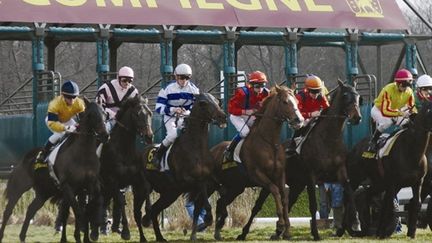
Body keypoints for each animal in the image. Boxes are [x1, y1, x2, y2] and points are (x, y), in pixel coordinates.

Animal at [0, 98, 108, 243]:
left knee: (31, 209)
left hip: (44, 192)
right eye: (91, 115)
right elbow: (78, 211)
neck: (83, 154)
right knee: (8, 211)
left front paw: (87, 236)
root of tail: (23, 159)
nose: (105, 135)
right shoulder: (68, 186)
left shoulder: (89, 185)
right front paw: (80, 236)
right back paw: (2, 235)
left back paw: (22, 237)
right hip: (19, 187)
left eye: (104, 113)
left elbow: (89, 208)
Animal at [139, 92, 228, 241]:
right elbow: (202, 197)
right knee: (148, 207)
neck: (196, 148)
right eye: (203, 103)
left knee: (155, 210)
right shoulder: (186, 182)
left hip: (169, 193)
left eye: (217, 101)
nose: (222, 116)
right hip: (147, 186)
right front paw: (207, 219)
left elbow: (216, 192)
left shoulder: (208, 178)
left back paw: (159, 236)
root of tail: (144, 150)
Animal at [209, 85, 304, 239]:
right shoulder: (257, 175)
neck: (269, 143)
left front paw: (287, 230)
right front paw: (280, 225)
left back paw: (218, 231)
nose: (299, 120)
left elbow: (284, 196)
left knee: (220, 202)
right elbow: (275, 191)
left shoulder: (279, 174)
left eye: (296, 101)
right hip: (211, 184)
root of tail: (212, 150)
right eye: (285, 102)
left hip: (235, 187)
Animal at [235, 80, 362, 241]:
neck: (328, 139)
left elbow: (350, 194)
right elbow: (313, 204)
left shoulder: (340, 172)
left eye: (358, 96)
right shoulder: (311, 176)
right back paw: (245, 232)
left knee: (287, 203)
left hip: (296, 185)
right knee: (259, 205)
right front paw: (315, 233)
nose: (357, 117)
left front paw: (355, 223)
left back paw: (279, 231)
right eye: (345, 96)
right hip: (272, 180)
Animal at [346, 99, 432, 238]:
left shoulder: (417, 182)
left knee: (367, 195)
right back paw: (349, 227)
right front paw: (383, 232)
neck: (412, 152)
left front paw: (411, 234)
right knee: (349, 198)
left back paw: (368, 224)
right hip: (356, 178)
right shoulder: (393, 183)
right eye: (430, 110)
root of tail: (354, 148)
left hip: (379, 183)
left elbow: (415, 203)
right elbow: (390, 207)